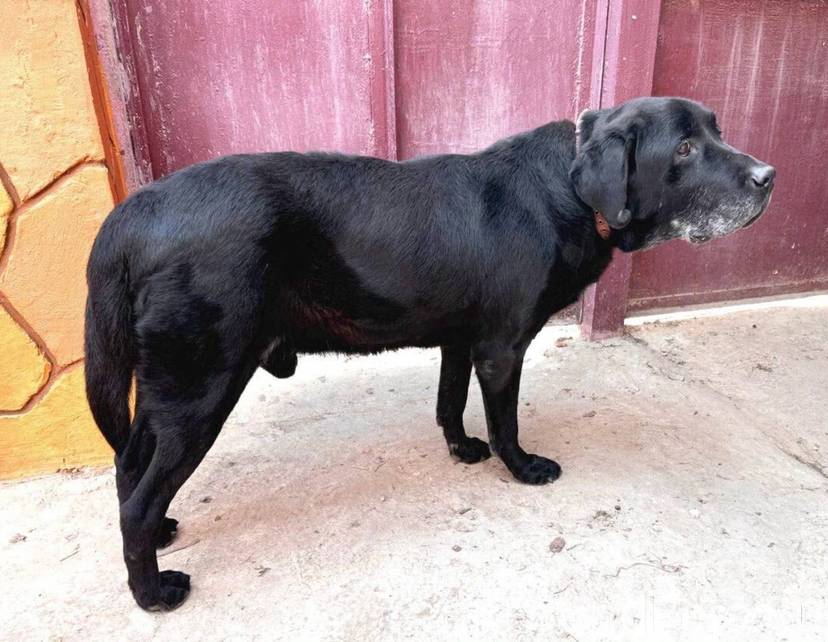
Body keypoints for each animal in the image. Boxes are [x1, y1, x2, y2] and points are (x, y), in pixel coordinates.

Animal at [85, 96, 774, 610]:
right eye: (683, 148)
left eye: (716, 131)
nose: (769, 177)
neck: (572, 191)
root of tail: (132, 212)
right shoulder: (501, 347)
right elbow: (505, 422)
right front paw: (522, 469)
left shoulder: (460, 339)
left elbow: (449, 403)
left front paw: (462, 450)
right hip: (202, 386)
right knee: (139, 499)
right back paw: (151, 593)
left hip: (169, 387)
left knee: (128, 468)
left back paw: (162, 536)